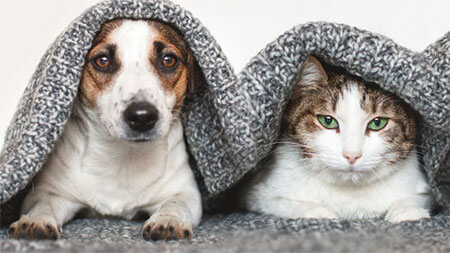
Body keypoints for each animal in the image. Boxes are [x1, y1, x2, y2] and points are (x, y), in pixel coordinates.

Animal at [7, 19, 201, 241]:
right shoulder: (49, 192)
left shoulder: (185, 192)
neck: (124, 158)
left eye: (168, 60)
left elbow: (176, 202)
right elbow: (41, 204)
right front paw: (35, 220)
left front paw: (169, 219)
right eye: (102, 60)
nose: (142, 116)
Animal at [239, 54, 432, 221]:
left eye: (377, 123)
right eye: (328, 120)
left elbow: (417, 198)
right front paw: (317, 211)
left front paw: (407, 210)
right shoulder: (259, 192)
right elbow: (283, 203)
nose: (352, 155)